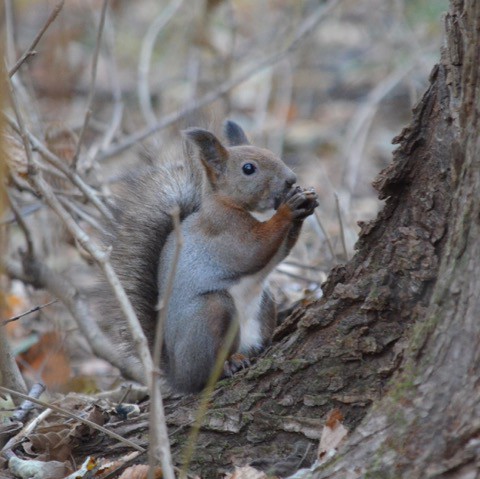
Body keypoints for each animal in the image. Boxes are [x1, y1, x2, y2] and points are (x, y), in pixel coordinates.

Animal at [99, 121, 316, 394]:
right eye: (248, 169)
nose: (291, 179)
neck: (230, 204)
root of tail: (177, 376)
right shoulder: (225, 234)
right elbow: (255, 249)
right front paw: (289, 208)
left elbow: (280, 251)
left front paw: (306, 201)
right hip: (211, 310)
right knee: (203, 375)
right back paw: (229, 365)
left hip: (265, 302)